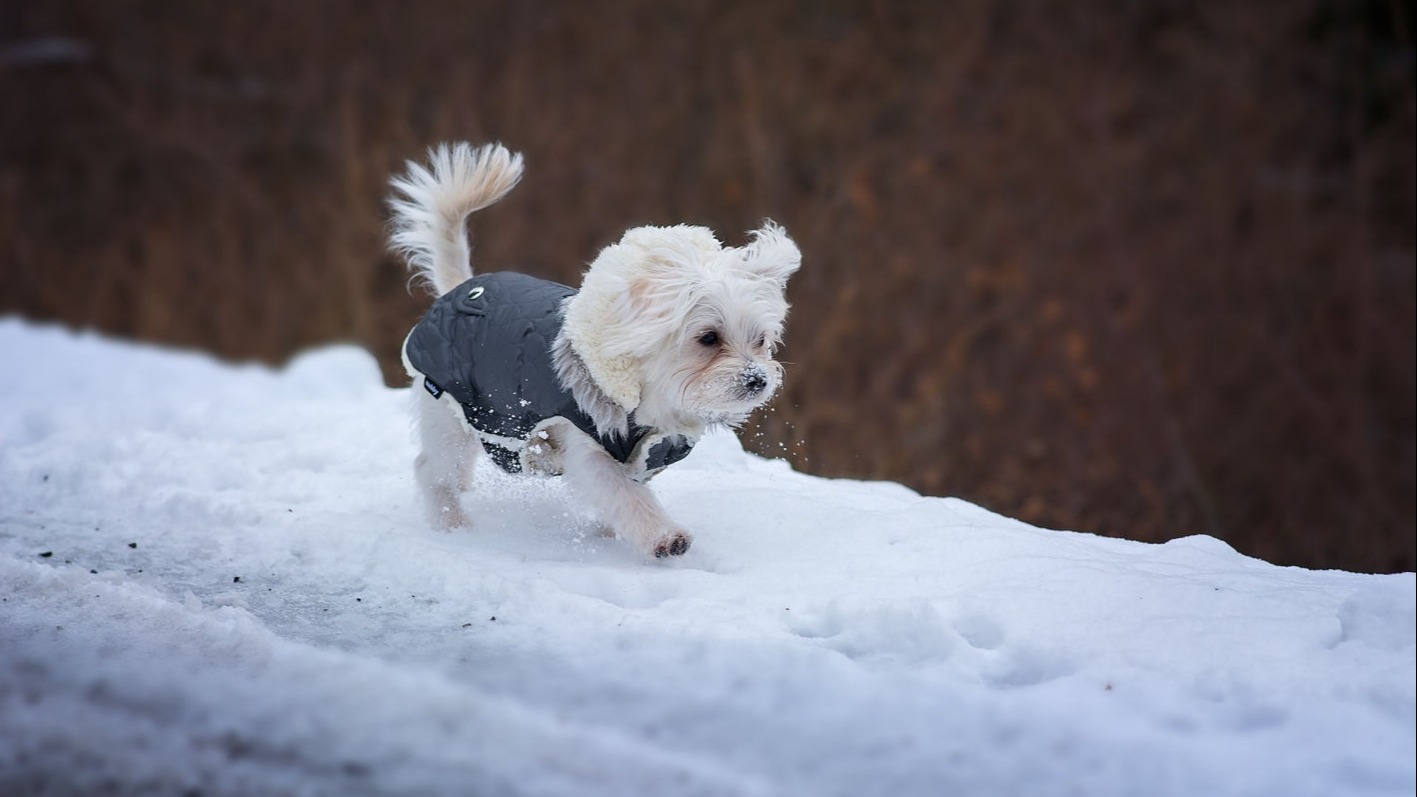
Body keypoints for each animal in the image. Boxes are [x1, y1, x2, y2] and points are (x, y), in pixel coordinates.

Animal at [388, 141, 804, 553]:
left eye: (761, 341)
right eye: (709, 338)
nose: (757, 379)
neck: (651, 400)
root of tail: (460, 288)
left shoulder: (644, 455)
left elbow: (622, 498)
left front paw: (610, 533)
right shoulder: (589, 448)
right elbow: (624, 495)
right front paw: (664, 536)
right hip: (450, 413)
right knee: (431, 470)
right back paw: (451, 523)